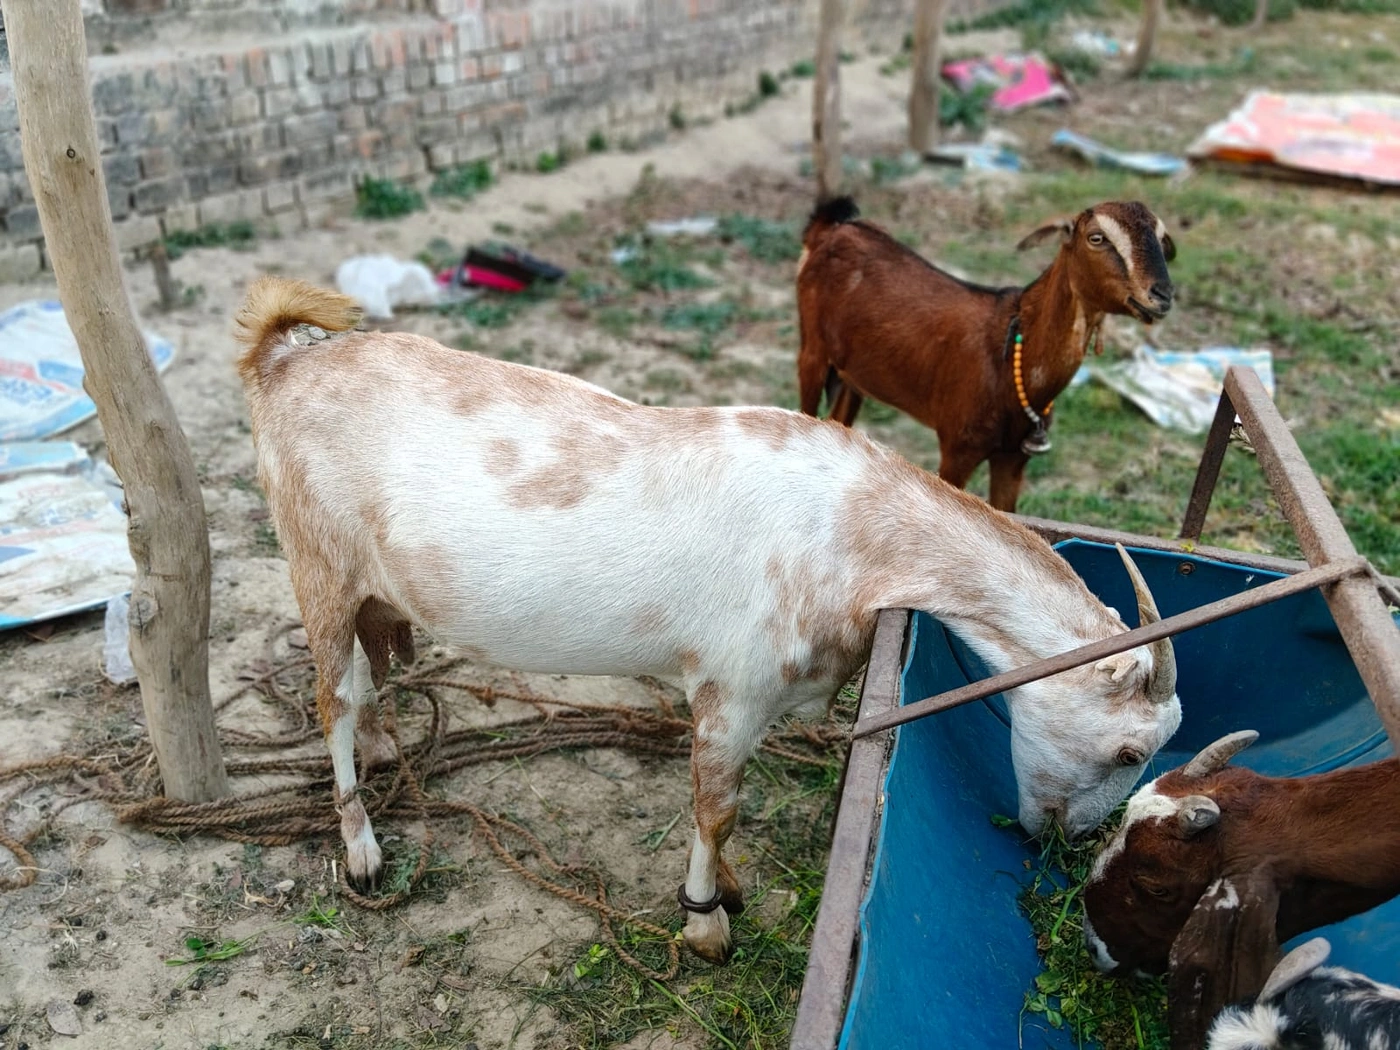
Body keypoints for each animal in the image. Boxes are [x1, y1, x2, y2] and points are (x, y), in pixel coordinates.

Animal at [233, 276, 1182, 965]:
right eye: (1128, 750)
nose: (1073, 841)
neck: (854, 534)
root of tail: (281, 361)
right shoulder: (731, 690)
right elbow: (717, 807)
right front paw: (706, 925)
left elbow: (732, 806)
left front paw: (726, 890)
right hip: (316, 562)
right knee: (331, 700)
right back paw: (361, 849)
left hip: (370, 591)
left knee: (366, 679)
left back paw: (388, 760)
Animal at [795, 197, 1175, 512]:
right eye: (1096, 238)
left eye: (1162, 241)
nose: (1163, 294)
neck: (1012, 362)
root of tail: (833, 226)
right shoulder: (958, 446)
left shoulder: (1013, 458)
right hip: (812, 348)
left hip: (852, 376)